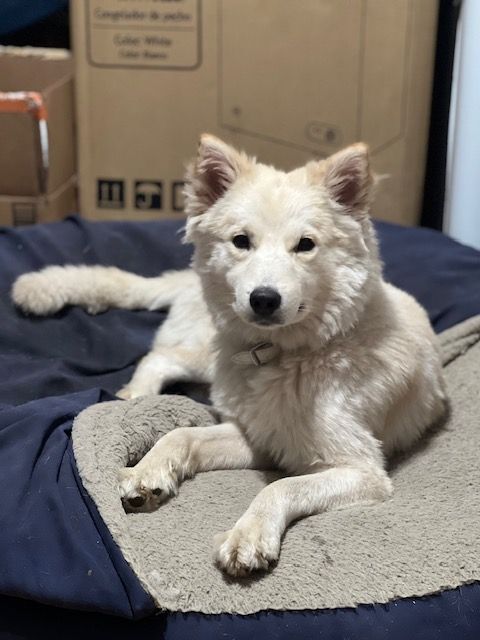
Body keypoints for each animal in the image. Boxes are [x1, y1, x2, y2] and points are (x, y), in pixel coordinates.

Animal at [12, 138, 446, 576]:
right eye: (241, 241)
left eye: (305, 245)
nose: (264, 299)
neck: (289, 354)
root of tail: (186, 281)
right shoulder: (255, 432)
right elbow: (181, 434)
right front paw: (148, 469)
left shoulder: (356, 469)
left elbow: (281, 484)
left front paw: (248, 534)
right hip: (211, 355)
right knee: (160, 356)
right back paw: (136, 394)